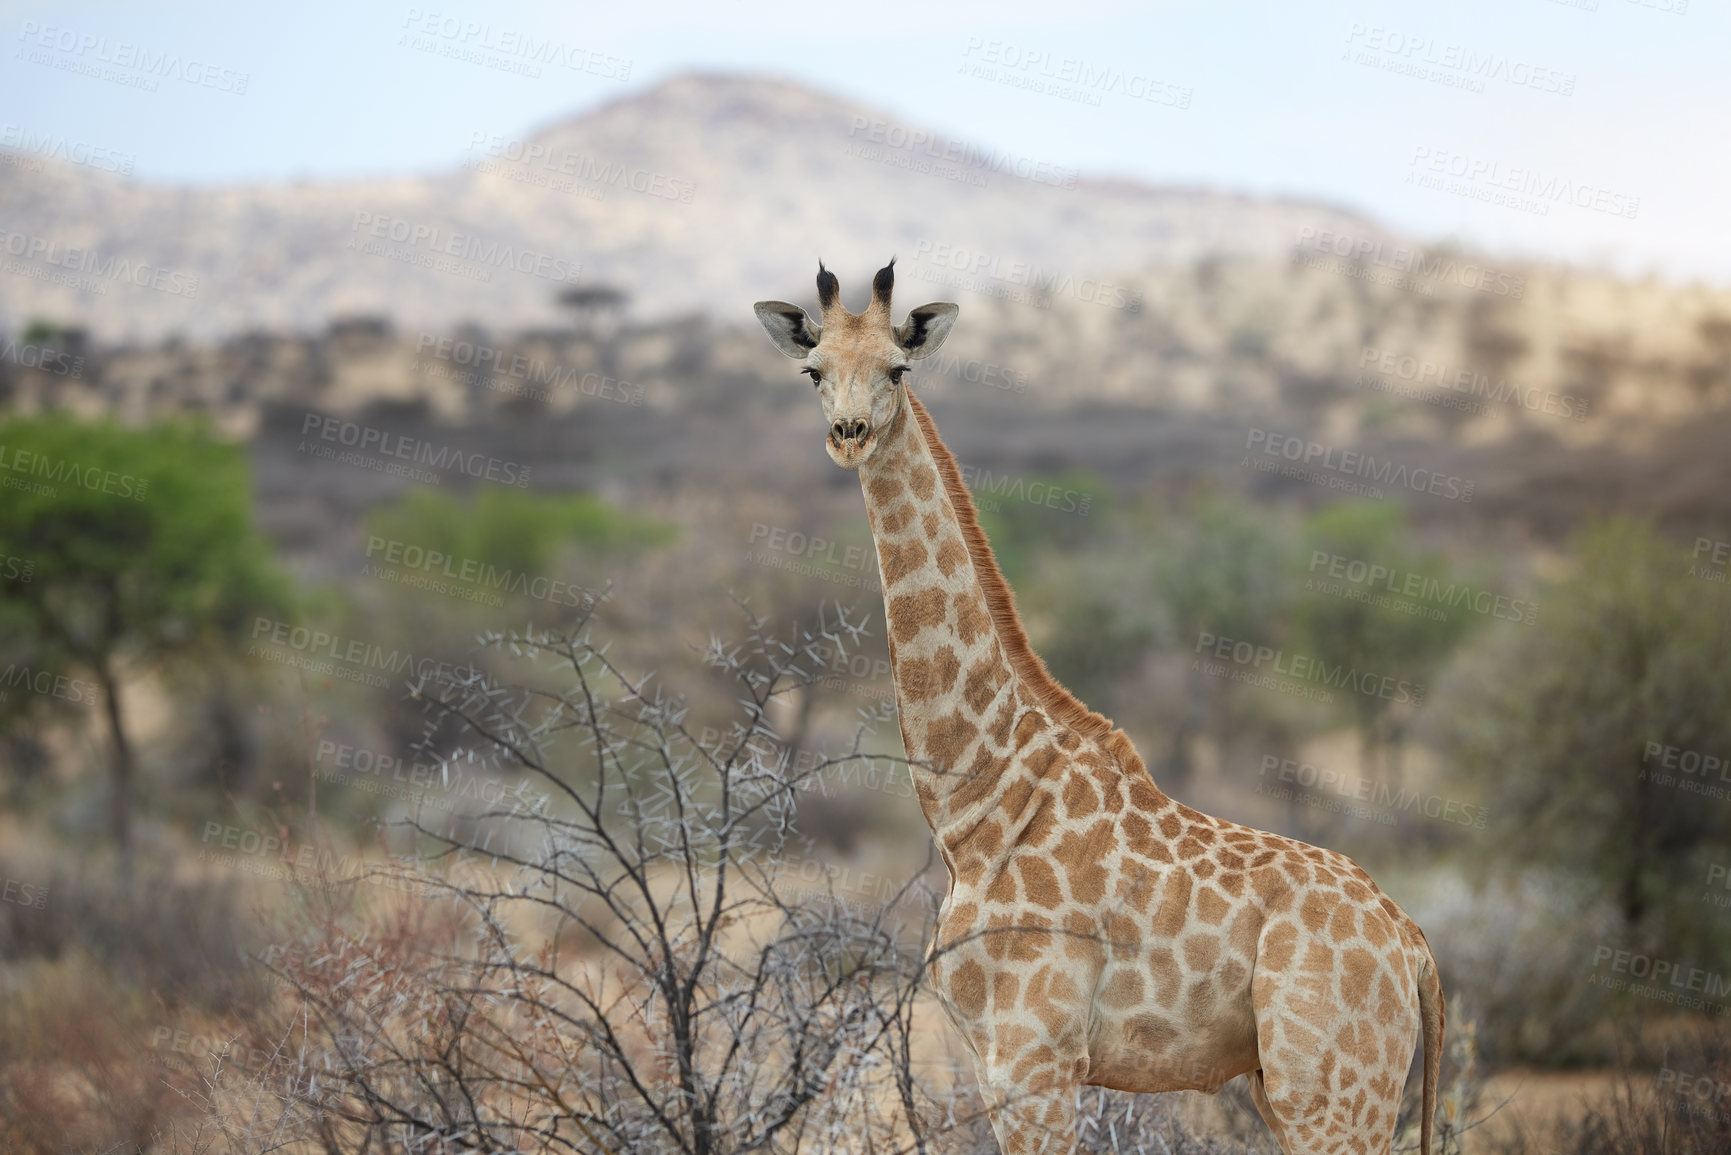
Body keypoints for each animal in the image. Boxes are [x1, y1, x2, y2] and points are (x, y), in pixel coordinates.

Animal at [751, 261, 1440, 1155]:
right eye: (812, 370)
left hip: (1331, 1091)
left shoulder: (1036, 1061)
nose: (849, 433)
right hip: (1298, 1090)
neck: (977, 803)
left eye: (897, 369)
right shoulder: (991, 1061)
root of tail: (1412, 942)